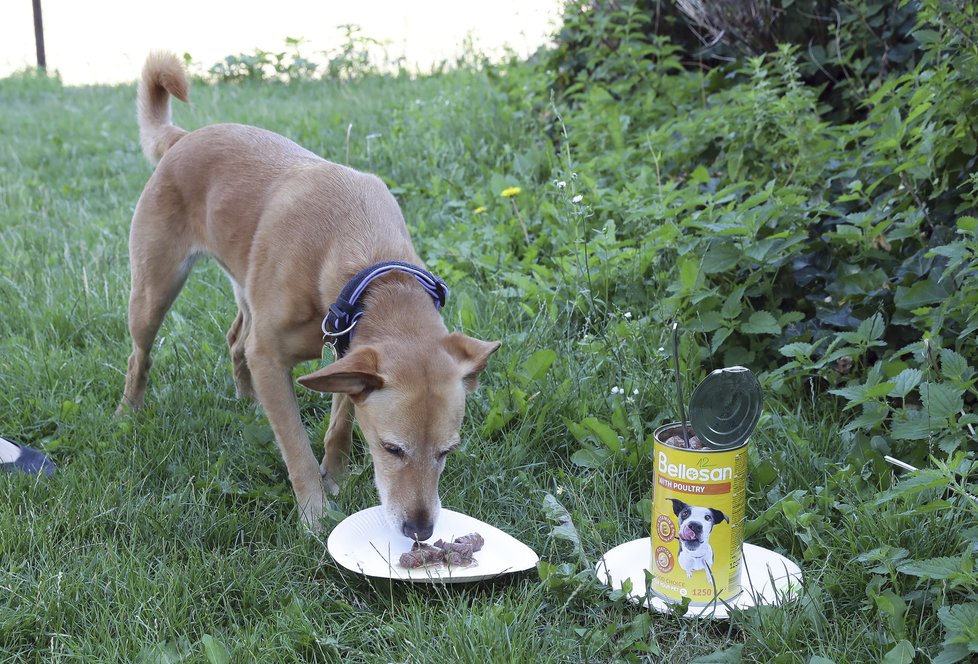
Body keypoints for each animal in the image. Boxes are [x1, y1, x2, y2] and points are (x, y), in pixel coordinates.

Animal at [121, 53, 500, 540]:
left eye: (447, 451)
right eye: (391, 448)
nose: (419, 531)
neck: (367, 261)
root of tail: (183, 138)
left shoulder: (346, 352)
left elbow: (339, 425)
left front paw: (335, 476)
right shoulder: (271, 356)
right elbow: (296, 446)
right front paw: (315, 515)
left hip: (243, 286)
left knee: (235, 339)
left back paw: (247, 400)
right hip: (154, 291)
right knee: (141, 355)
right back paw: (128, 413)